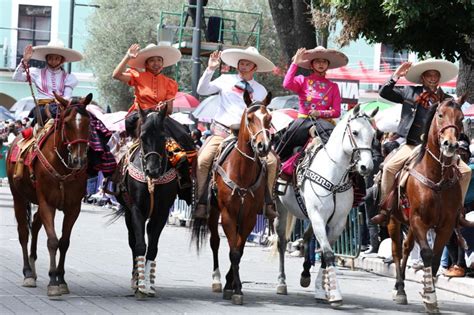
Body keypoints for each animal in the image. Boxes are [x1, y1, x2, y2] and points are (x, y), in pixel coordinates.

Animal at [7, 92, 92, 298]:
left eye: (88, 123)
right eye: (67, 123)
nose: (78, 160)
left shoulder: (73, 207)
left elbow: (64, 242)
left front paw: (61, 279)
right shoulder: (47, 203)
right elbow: (52, 241)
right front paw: (53, 281)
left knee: (36, 224)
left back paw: (33, 266)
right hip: (18, 197)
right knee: (23, 232)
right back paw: (28, 273)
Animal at [113, 105, 180, 300]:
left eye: (163, 136)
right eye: (142, 137)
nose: (153, 170)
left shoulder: (162, 213)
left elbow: (153, 248)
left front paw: (149, 285)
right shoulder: (136, 210)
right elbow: (140, 245)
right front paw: (141, 284)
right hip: (128, 214)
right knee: (133, 243)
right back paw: (135, 279)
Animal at [193, 90, 272, 304]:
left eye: (269, 119)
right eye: (250, 118)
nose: (263, 146)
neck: (242, 171)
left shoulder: (249, 217)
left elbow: (239, 250)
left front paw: (235, 286)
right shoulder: (228, 214)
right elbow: (233, 251)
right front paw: (233, 289)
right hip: (213, 212)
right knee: (215, 242)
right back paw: (217, 280)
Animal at [274, 105, 378, 308]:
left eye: (373, 135)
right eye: (355, 132)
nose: (366, 167)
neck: (334, 177)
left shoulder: (337, 222)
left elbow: (325, 253)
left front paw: (323, 290)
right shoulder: (318, 217)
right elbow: (328, 254)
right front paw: (334, 294)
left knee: (307, 237)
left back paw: (304, 271)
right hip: (281, 209)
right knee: (282, 242)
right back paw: (281, 282)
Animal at [390, 97, 464, 314]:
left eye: (461, 118)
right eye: (440, 115)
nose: (450, 144)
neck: (437, 176)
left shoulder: (446, 226)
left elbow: (436, 257)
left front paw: (430, 293)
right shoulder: (418, 221)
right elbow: (426, 253)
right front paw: (429, 296)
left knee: (406, 247)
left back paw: (401, 287)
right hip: (394, 219)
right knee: (397, 250)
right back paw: (399, 289)